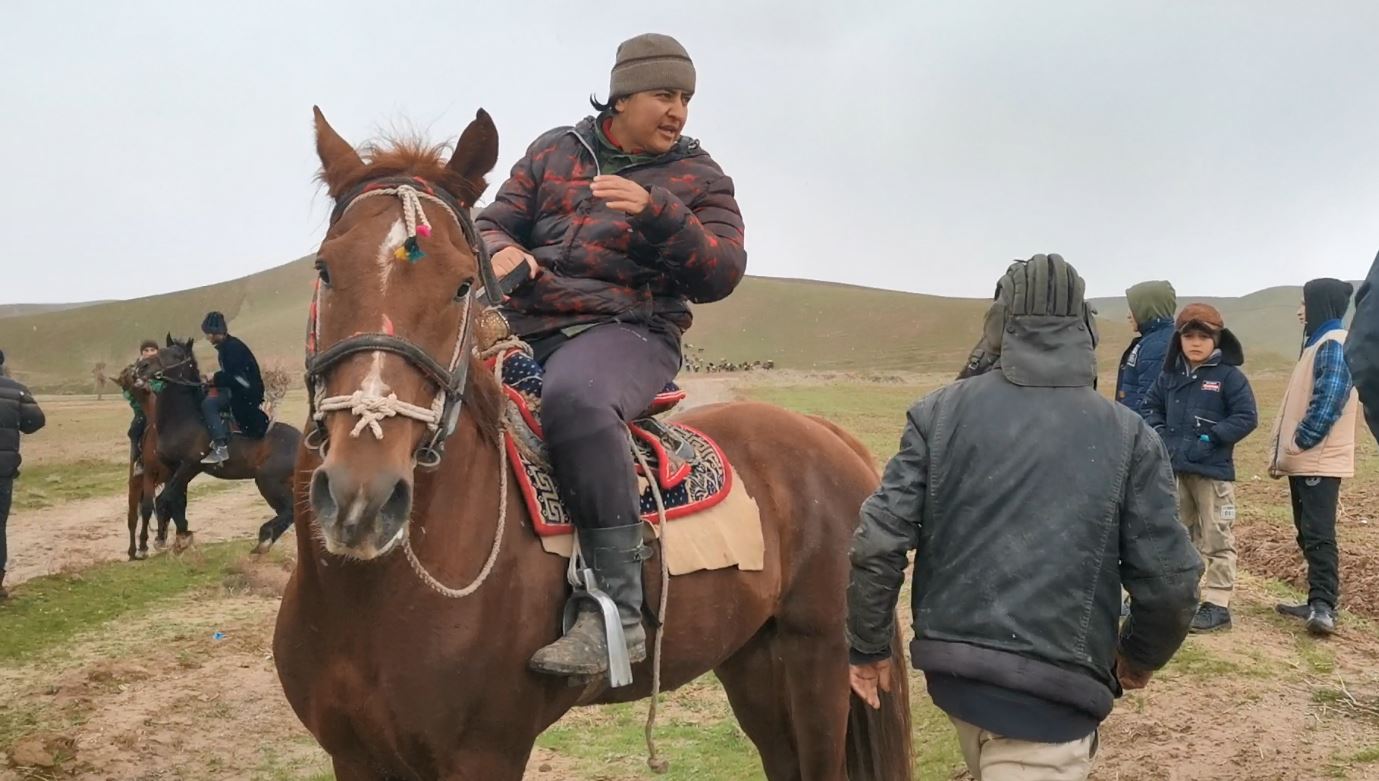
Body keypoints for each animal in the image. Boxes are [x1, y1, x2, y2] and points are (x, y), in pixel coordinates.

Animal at [135, 339, 300, 554]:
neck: (186, 418)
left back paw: (264, 538)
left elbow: (165, 499)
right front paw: (180, 536)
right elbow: (177, 501)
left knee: (289, 510)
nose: (142, 366)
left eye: (176, 355)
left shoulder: (190, 466)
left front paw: (165, 539)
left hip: (268, 482)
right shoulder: (173, 468)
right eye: (161, 349)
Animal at [271, 106, 915, 778]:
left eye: (462, 285)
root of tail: (829, 435)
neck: (370, 597)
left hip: (819, 661)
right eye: (324, 268)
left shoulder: (486, 754)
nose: (362, 497)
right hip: (754, 665)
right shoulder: (354, 755)